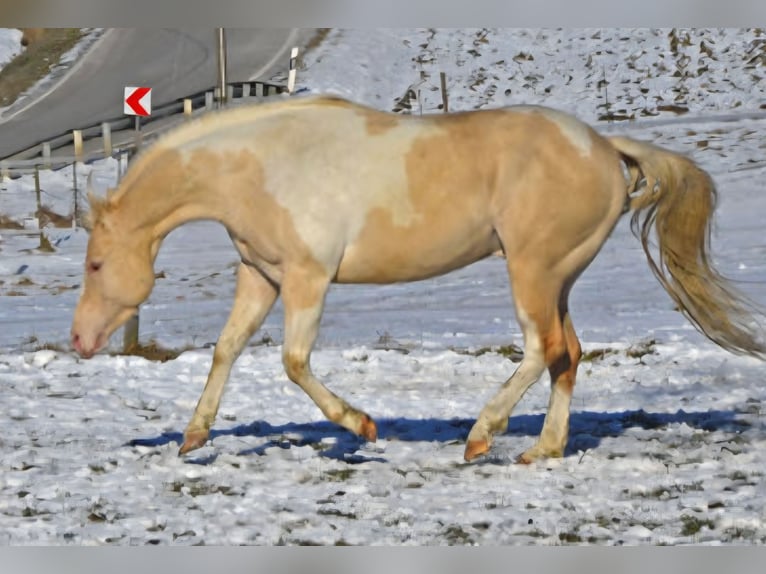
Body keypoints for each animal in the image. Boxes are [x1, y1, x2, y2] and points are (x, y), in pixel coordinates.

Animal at [70, 95, 765, 463]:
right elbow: (227, 349)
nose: (79, 341)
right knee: (566, 355)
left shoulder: (307, 280)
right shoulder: (260, 277)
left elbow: (293, 363)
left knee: (539, 349)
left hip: (531, 270)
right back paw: (542, 450)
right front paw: (193, 436)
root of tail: (602, 147)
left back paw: (482, 437)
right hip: (559, 279)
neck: (264, 164)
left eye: (96, 264)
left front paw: (362, 426)